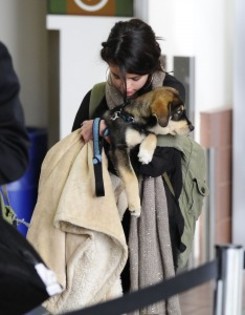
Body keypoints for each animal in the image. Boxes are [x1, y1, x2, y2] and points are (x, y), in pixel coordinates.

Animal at [102, 86, 194, 217]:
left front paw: (145, 154)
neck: (136, 121)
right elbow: (131, 177)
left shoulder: (147, 132)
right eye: (178, 112)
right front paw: (135, 206)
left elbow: (152, 135)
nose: (192, 127)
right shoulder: (119, 148)